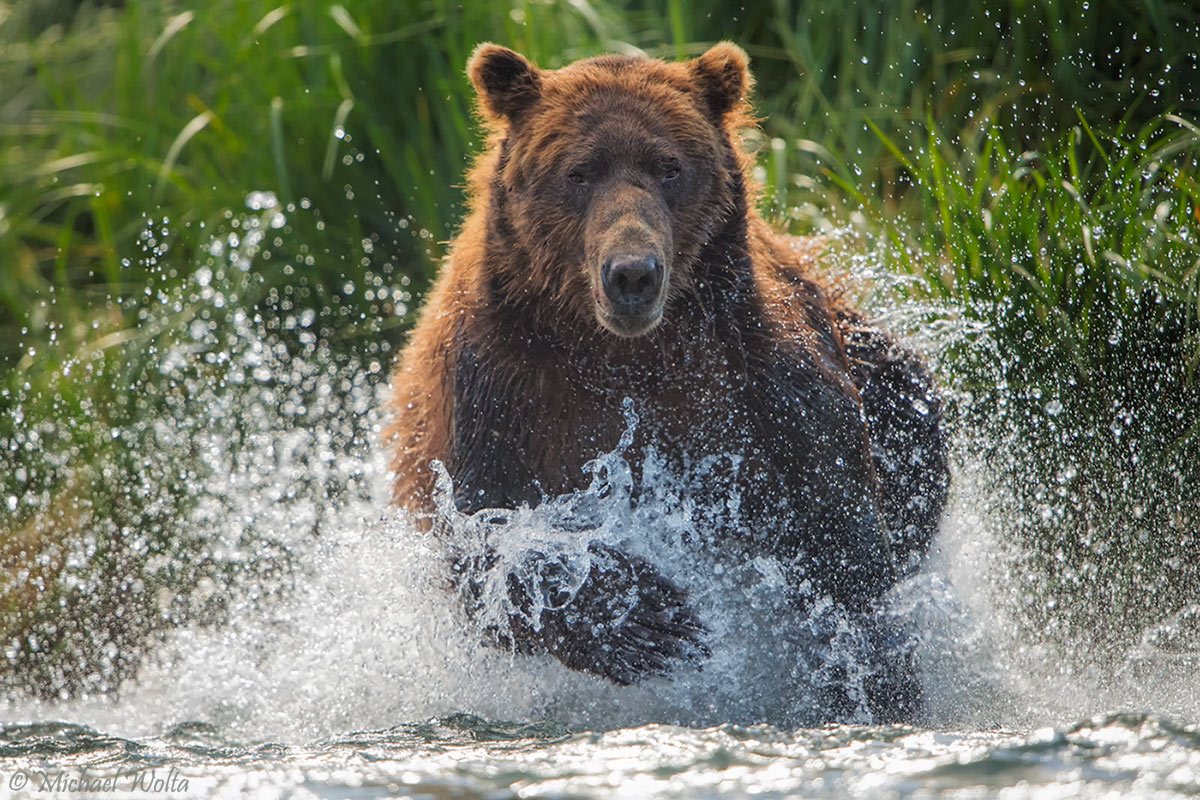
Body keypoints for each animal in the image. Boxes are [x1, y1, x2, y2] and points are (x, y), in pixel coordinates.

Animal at [384, 40, 945, 724]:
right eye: (578, 172)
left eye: (669, 167)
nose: (632, 273)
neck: (620, 354)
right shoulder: (495, 387)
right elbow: (479, 536)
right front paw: (641, 617)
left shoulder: (765, 380)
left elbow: (842, 542)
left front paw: (874, 684)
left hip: (875, 364)